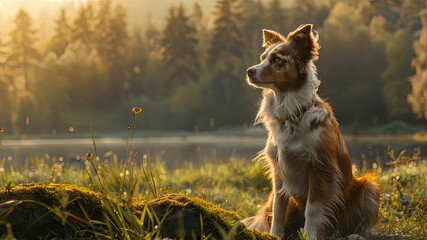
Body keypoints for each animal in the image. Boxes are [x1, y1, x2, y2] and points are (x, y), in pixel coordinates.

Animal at [244, 24, 382, 240]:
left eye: (277, 60)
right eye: (262, 57)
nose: (249, 71)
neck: (292, 115)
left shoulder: (320, 169)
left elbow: (313, 210)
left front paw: (310, 235)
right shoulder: (279, 171)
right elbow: (278, 209)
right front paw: (275, 235)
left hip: (369, 187)